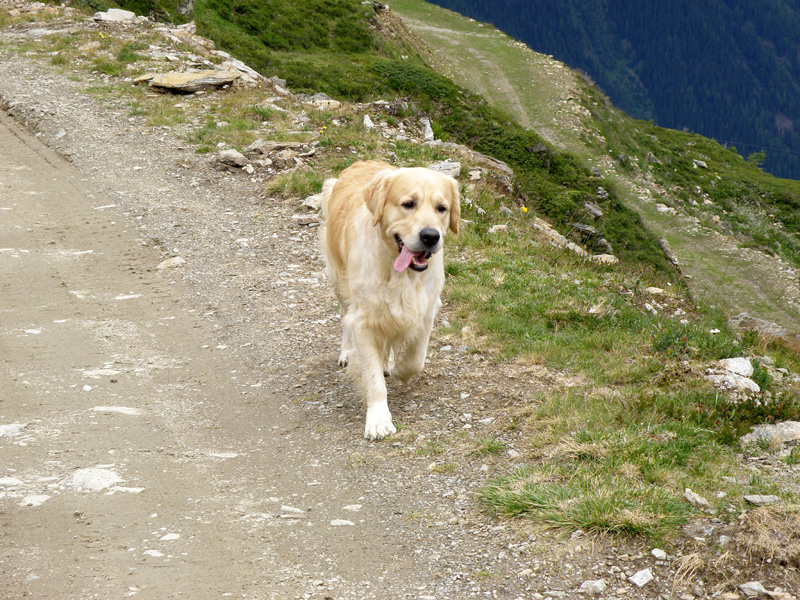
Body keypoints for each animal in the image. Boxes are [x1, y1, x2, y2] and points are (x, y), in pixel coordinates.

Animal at [318, 161, 456, 440]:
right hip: (339, 279)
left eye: (442, 208)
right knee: (344, 316)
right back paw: (347, 352)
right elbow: (373, 379)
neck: (401, 274)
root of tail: (360, 163)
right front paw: (378, 420)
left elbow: (415, 360)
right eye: (408, 204)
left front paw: (400, 369)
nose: (431, 236)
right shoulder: (364, 320)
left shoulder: (427, 310)